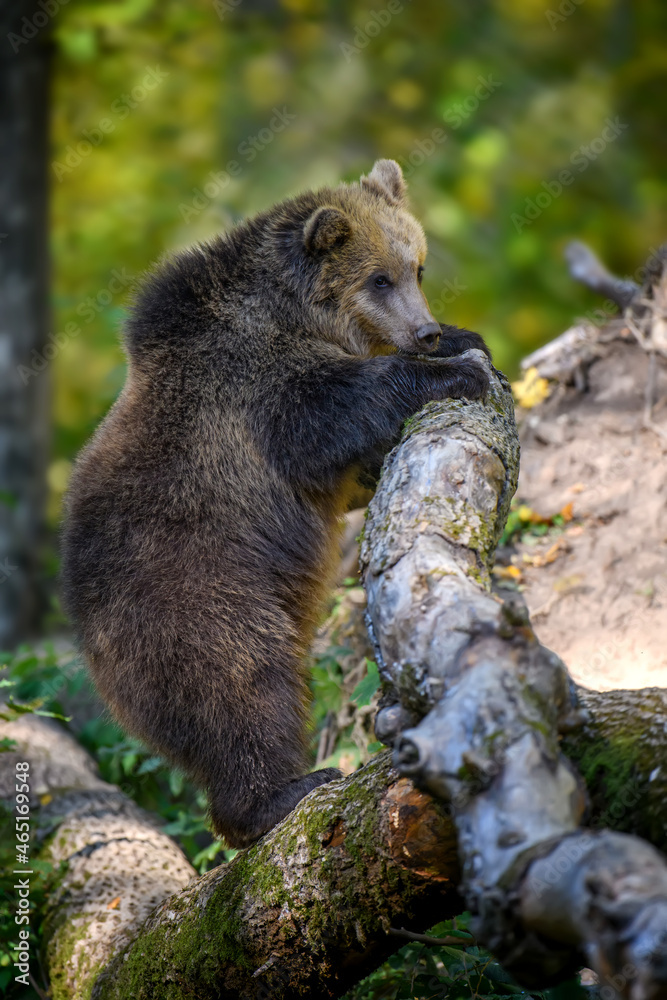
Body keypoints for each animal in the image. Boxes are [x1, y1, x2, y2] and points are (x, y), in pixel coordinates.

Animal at [61, 159, 490, 848]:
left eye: (417, 267)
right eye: (379, 278)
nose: (423, 330)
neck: (292, 313)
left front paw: (461, 337)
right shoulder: (251, 386)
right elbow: (336, 407)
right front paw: (457, 368)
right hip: (190, 590)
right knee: (239, 684)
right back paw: (284, 792)